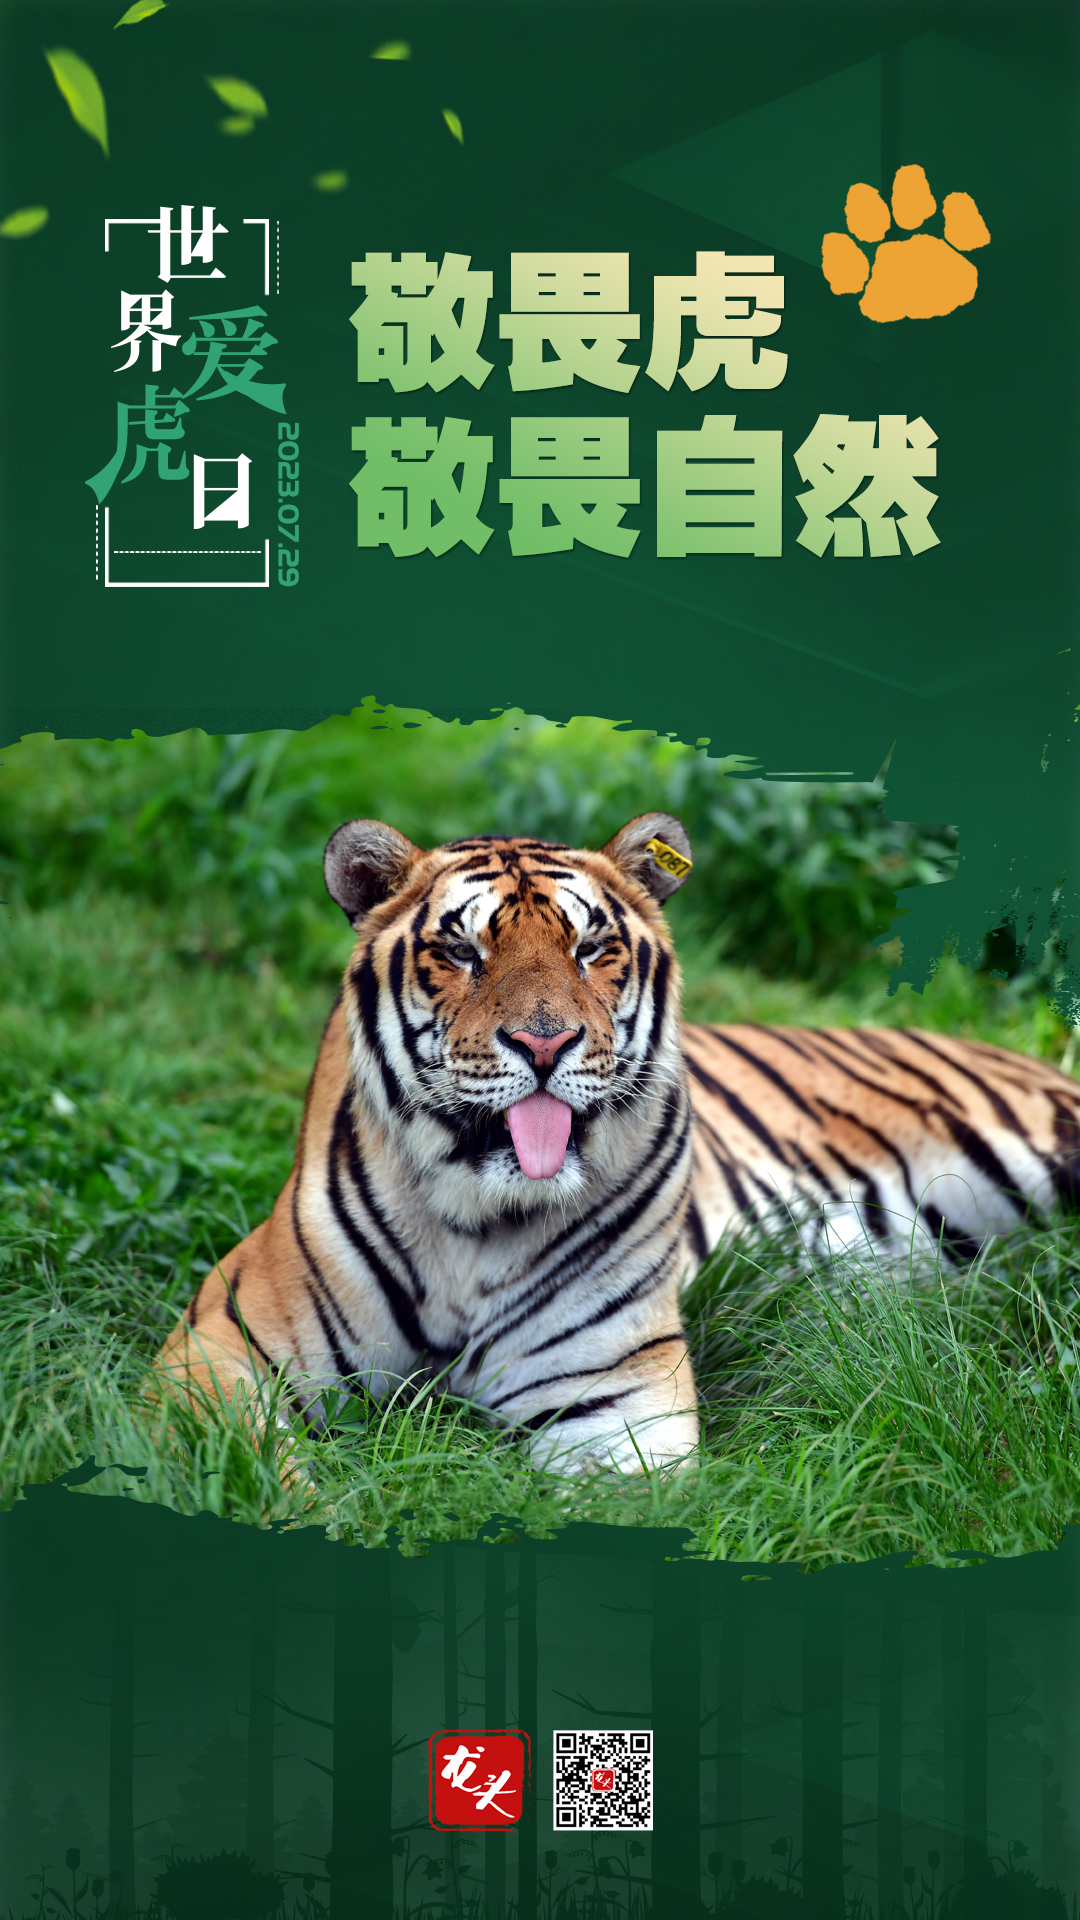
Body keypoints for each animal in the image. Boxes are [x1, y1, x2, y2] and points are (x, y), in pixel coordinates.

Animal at [158, 811, 1080, 1474]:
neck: (472, 1220)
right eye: (461, 950)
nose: (544, 1044)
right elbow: (255, 1471)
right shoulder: (216, 1351)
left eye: (591, 948)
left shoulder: (614, 1394)